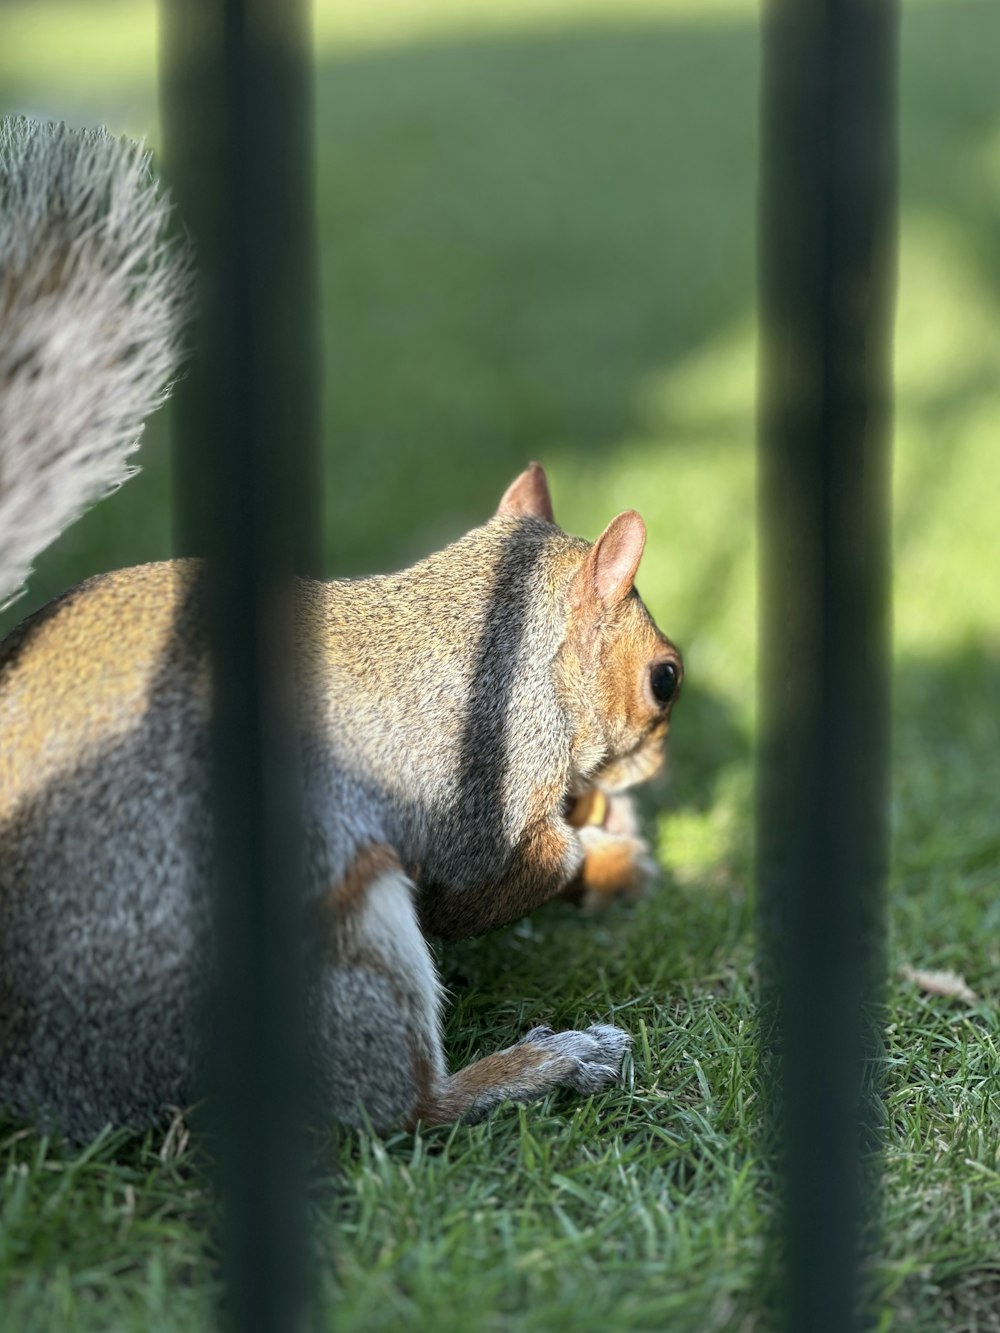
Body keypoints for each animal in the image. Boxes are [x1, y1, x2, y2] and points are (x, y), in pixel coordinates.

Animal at [0, 117, 682, 1135]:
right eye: (663, 678)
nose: (658, 765)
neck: (494, 638)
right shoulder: (475, 796)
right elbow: (497, 875)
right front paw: (599, 853)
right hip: (330, 938)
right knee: (402, 1110)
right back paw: (548, 1062)